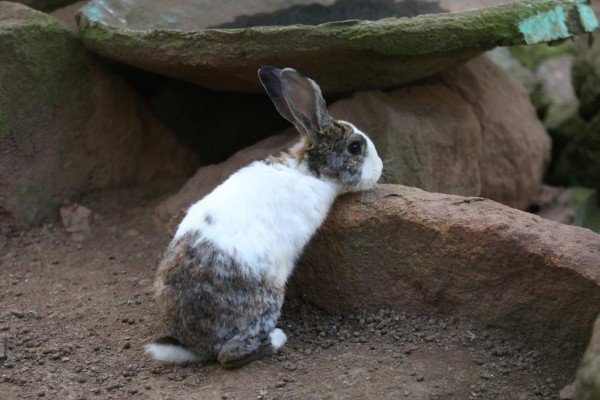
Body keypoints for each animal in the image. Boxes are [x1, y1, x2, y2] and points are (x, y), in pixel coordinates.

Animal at [143, 66, 382, 368]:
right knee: (228, 356)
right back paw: (276, 339)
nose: (380, 168)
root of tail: (193, 344)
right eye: (354, 148)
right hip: (265, 300)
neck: (308, 171)